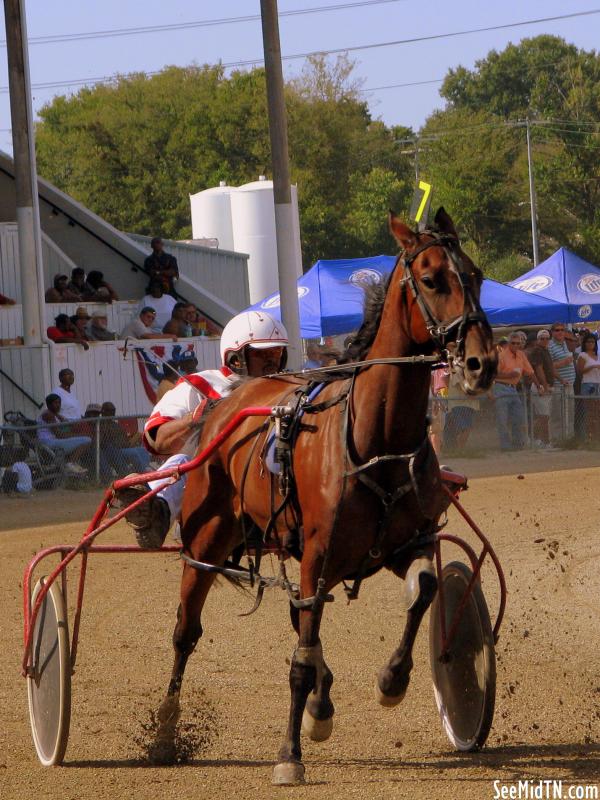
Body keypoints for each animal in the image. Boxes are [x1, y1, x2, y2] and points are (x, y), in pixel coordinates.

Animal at [154, 206, 496, 780]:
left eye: (476, 276)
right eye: (431, 279)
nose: (481, 363)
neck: (376, 440)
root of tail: (224, 407)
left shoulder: (407, 544)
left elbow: (425, 589)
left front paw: (391, 681)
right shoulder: (318, 552)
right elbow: (298, 658)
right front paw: (289, 753)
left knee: (302, 622)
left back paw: (321, 700)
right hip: (207, 541)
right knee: (186, 631)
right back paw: (163, 731)